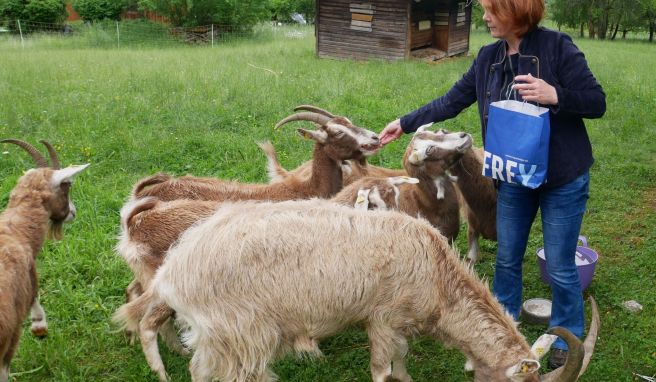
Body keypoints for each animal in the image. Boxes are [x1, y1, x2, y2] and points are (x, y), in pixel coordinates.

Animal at [114, 198, 600, 382]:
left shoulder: (397, 323)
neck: (439, 276)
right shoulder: (383, 319)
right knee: (206, 371)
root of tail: (175, 270)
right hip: (235, 329)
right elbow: (383, 369)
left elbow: (402, 361)